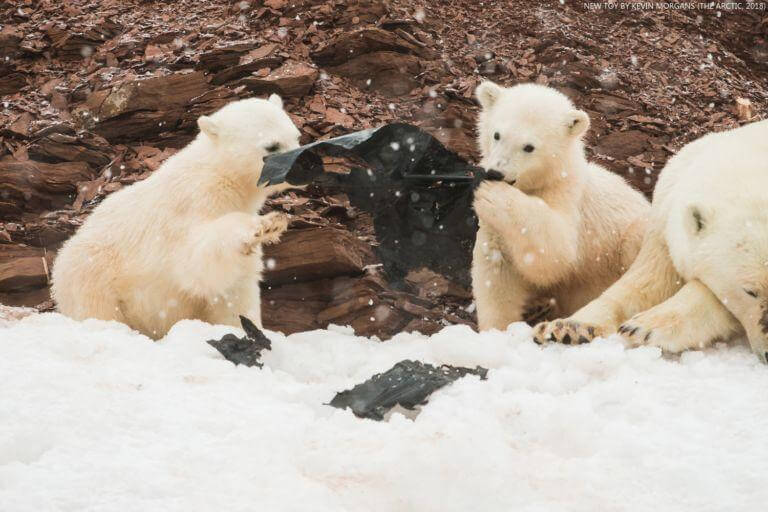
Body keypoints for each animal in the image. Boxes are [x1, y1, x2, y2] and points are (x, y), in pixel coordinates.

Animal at [52, 95, 298, 340]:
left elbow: (235, 288)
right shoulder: (192, 205)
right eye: (272, 146)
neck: (221, 177)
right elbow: (198, 259)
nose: (301, 165)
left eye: (296, 136)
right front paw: (264, 225)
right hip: (93, 272)